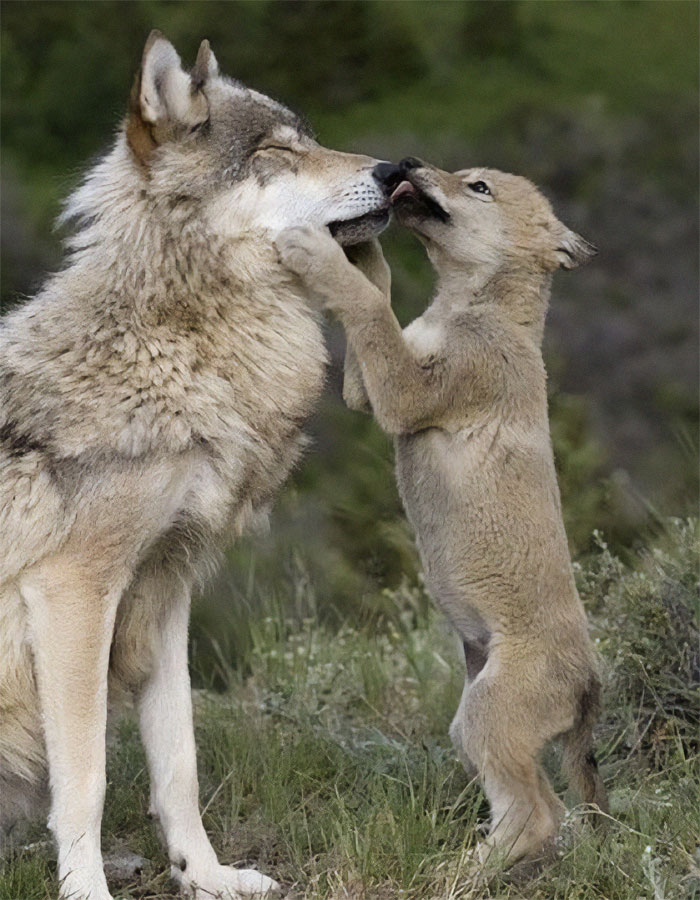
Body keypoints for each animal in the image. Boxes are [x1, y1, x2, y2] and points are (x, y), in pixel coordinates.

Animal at [0, 31, 398, 900]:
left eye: (311, 138)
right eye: (276, 155)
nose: (398, 169)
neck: (171, 347)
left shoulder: (166, 589)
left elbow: (178, 760)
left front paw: (206, 874)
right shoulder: (74, 592)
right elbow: (85, 778)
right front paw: (87, 890)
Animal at [275, 158, 608, 867]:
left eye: (478, 186)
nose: (405, 166)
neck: (469, 307)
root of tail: (590, 684)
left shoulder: (407, 393)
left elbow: (367, 305)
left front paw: (317, 249)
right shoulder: (371, 390)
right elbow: (376, 291)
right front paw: (360, 240)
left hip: (486, 716)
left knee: (539, 815)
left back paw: (463, 871)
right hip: (472, 721)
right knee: (543, 807)